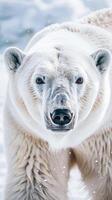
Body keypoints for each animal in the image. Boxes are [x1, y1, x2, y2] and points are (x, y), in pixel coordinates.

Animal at [2, 8, 112, 200]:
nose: (61, 114)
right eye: (39, 79)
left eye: (79, 79)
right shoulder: (30, 135)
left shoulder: (101, 132)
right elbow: (35, 180)